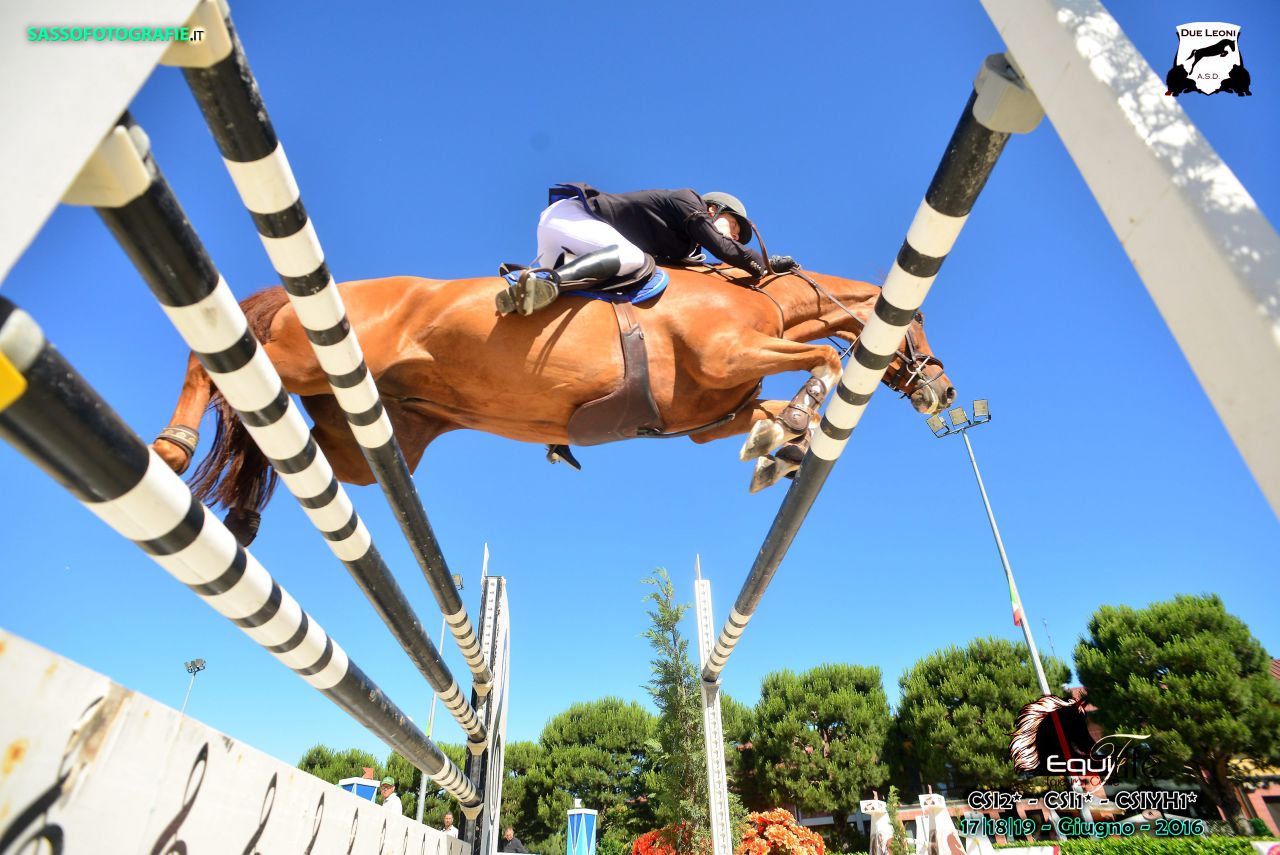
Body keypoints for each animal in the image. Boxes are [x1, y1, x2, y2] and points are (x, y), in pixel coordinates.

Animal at [150, 265, 956, 542]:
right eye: (918, 320)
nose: (946, 390)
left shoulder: (707, 417)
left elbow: (758, 418)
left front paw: (778, 451)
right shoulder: (727, 352)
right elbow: (825, 358)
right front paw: (790, 431)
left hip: (363, 434)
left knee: (282, 438)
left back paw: (247, 510)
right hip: (303, 354)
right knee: (214, 362)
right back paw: (172, 447)